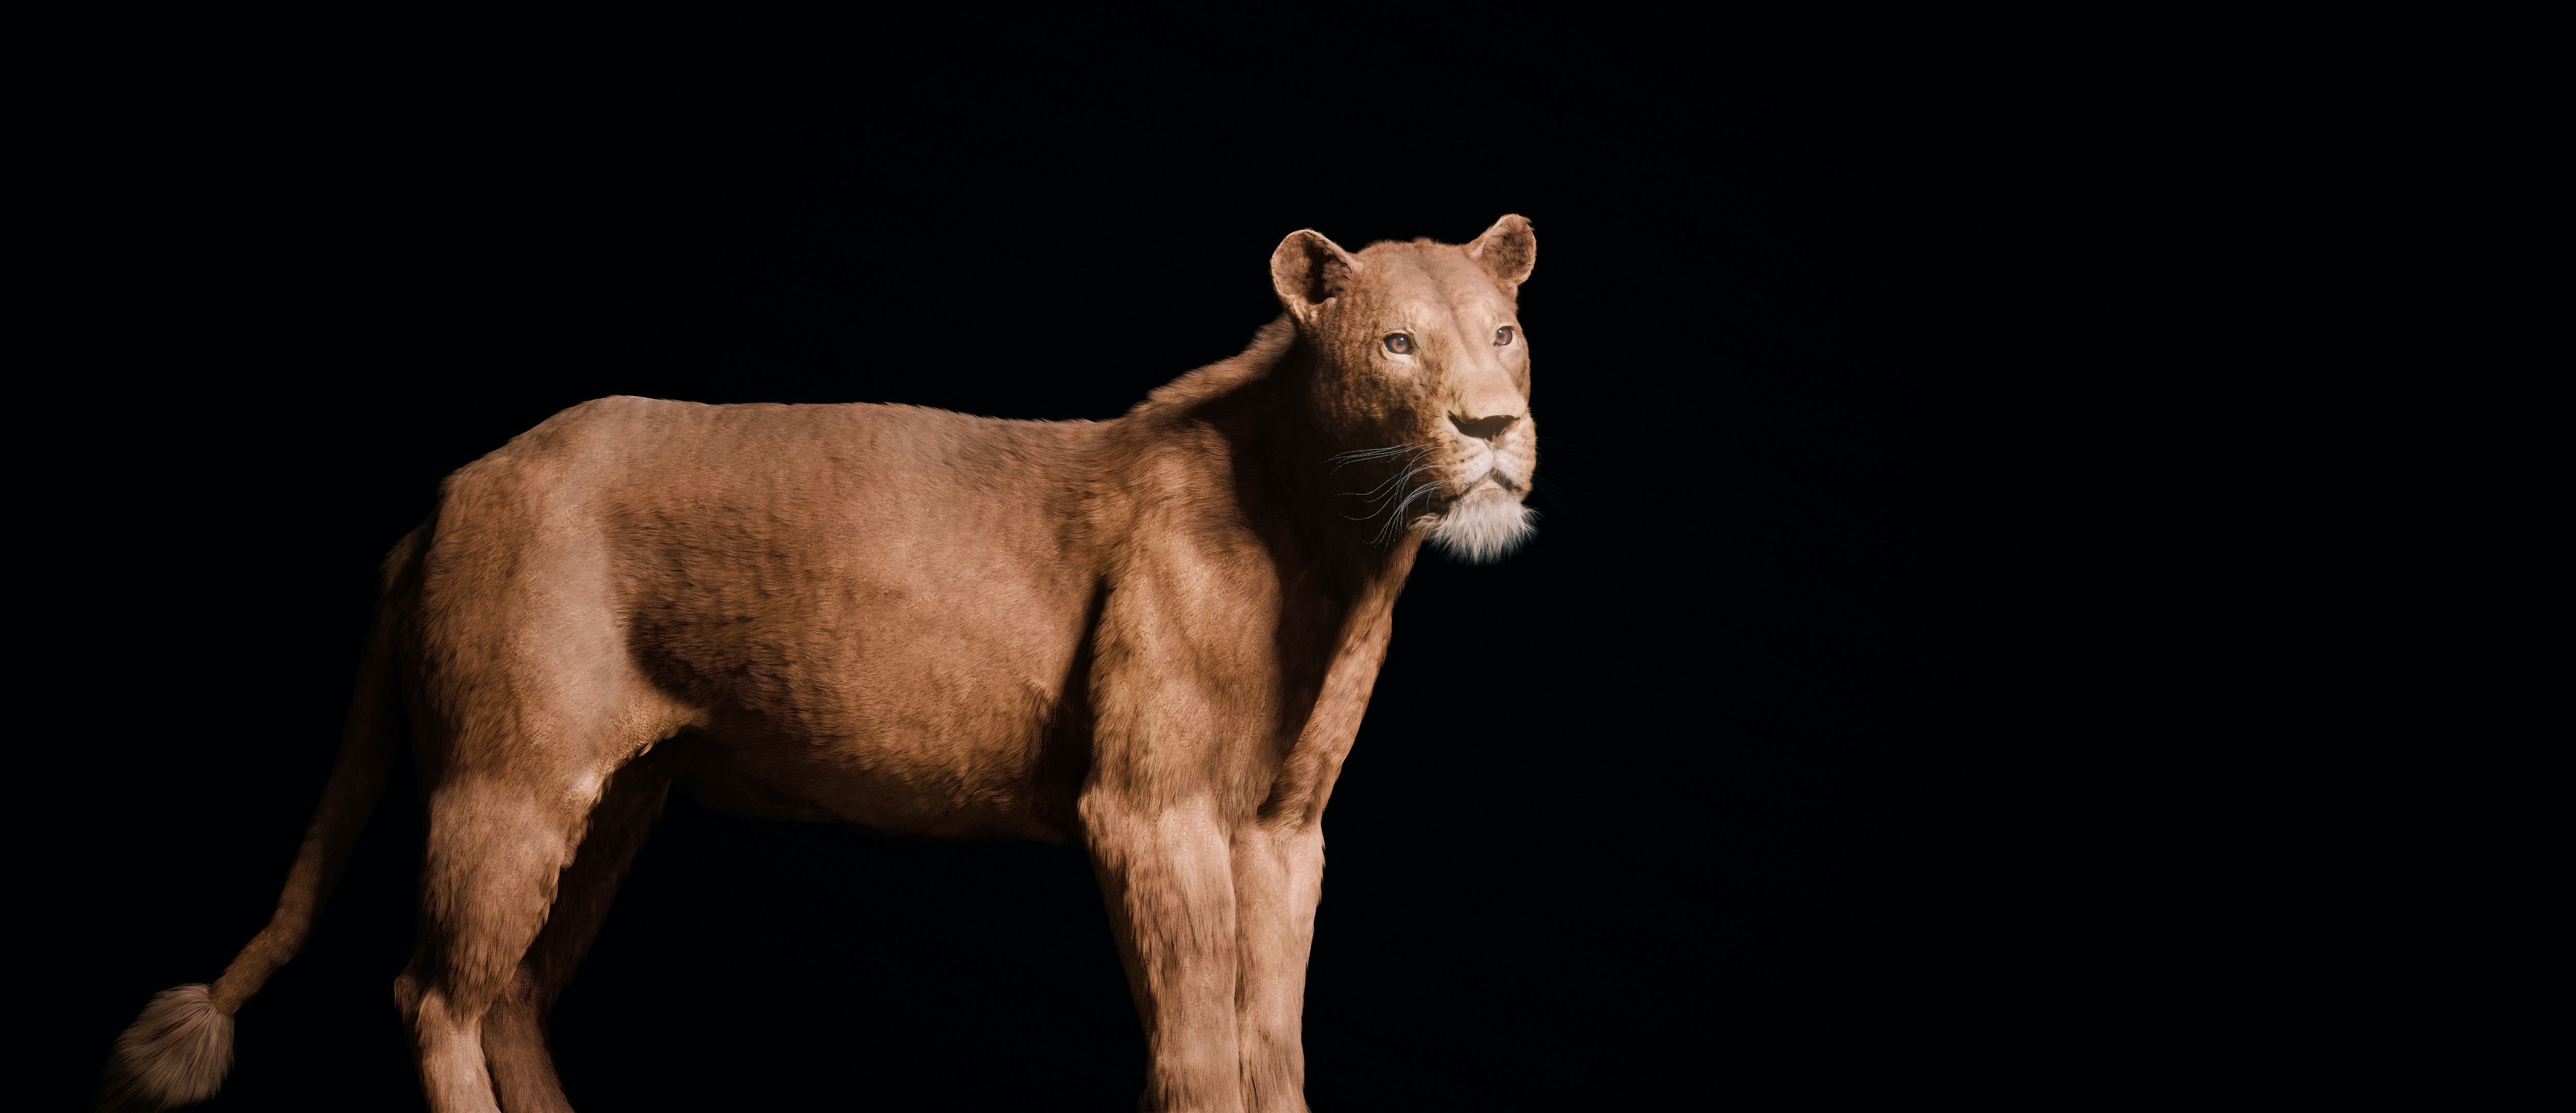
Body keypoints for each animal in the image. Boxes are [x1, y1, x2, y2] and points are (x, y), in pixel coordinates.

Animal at [100, 215, 1540, 1113]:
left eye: (1503, 332)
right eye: (1399, 342)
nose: (1493, 426)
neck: (1343, 541)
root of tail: (455, 489)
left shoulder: (1282, 830)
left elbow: (1270, 1037)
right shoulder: (1149, 809)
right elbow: (1197, 1042)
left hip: (617, 801)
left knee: (510, 993)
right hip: (505, 781)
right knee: (435, 994)